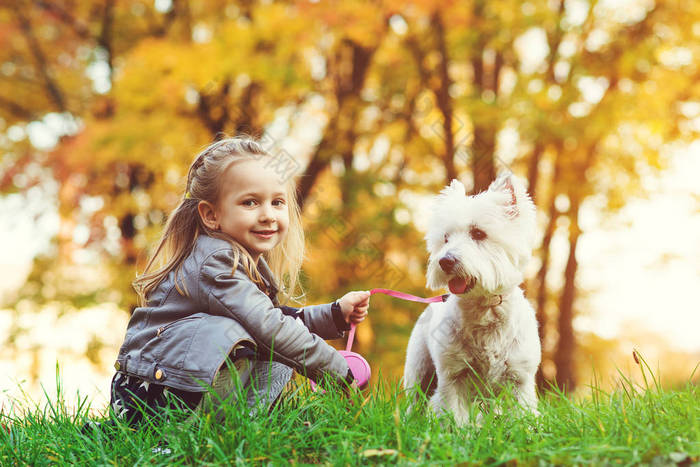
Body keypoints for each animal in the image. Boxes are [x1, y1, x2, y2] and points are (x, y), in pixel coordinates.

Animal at [404, 174, 540, 426]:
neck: (485, 308)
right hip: (419, 368)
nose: (445, 261)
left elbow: (521, 414)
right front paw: (460, 433)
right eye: (445, 238)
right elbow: (454, 415)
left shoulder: (519, 378)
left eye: (478, 233)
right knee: (414, 399)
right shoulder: (453, 376)